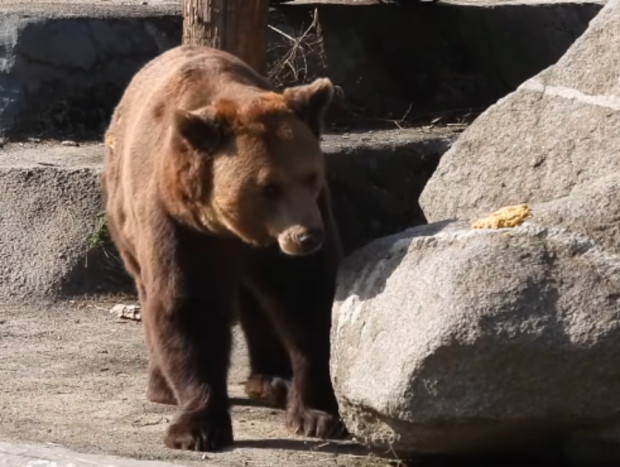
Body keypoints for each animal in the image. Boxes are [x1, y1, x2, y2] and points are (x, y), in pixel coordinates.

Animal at [101, 44, 344, 454]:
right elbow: (189, 306)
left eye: (310, 175)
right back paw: (163, 387)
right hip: (124, 217)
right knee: (150, 292)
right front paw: (196, 428)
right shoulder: (177, 223)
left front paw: (316, 415)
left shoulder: (295, 233)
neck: (232, 228)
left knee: (257, 298)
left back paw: (272, 380)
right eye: (269, 186)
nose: (308, 237)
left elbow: (304, 302)